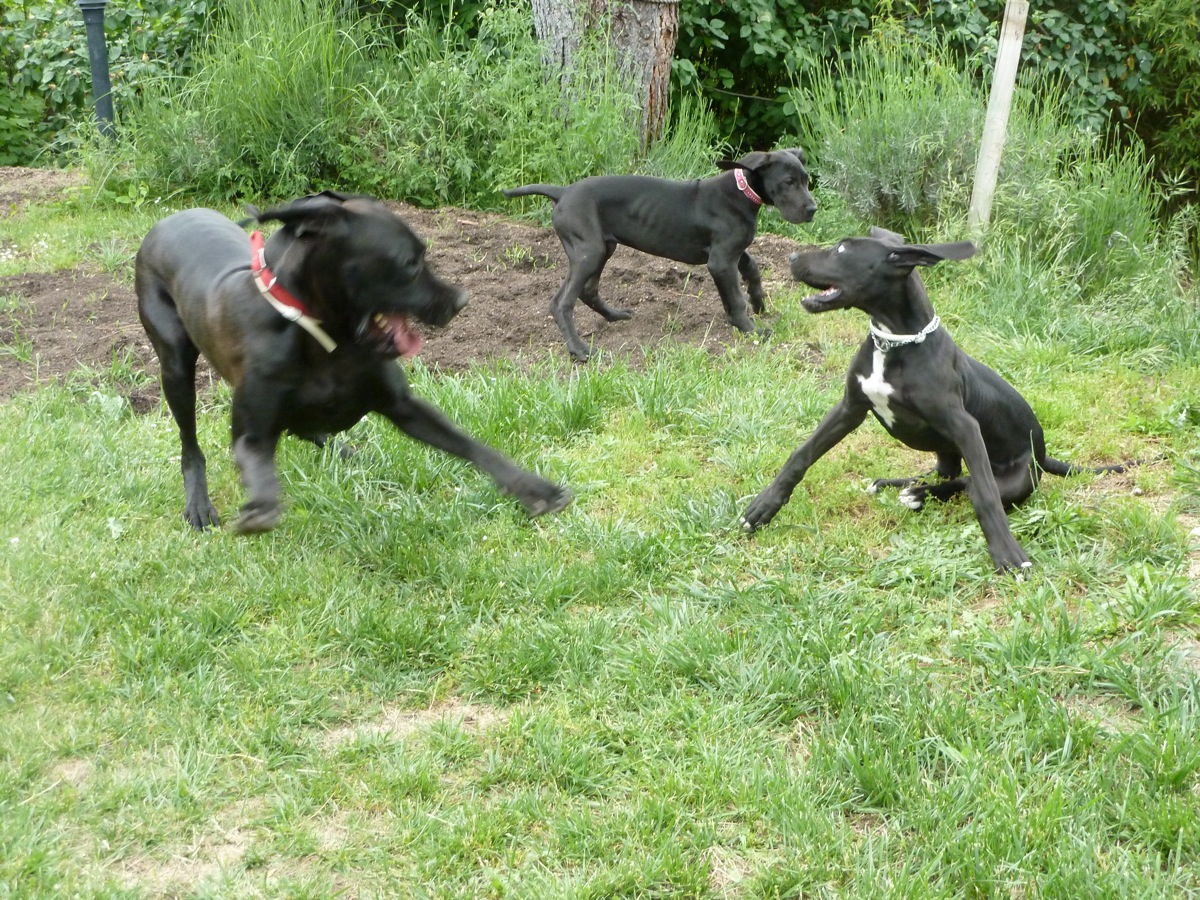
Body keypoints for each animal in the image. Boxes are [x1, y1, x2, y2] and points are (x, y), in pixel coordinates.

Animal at [138, 187, 568, 532]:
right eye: (410, 262)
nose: (462, 301)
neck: (326, 337)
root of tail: (165, 222)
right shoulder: (251, 433)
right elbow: (258, 465)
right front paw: (261, 504)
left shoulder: (404, 406)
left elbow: (475, 447)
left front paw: (535, 489)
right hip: (175, 368)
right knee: (190, 445)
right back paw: (198, 502)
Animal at [501, 148, 820, 362]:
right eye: (788, 182)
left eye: (806, 180)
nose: (812, 209)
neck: (741, 194)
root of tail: (563, 191)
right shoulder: (720, 261)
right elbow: (735, 299)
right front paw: (751, 329)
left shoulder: (732, 251)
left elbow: (752, 268)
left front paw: (760, 303)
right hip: (588, 251)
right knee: (562, 302)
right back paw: (578, 350)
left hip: (600, 248)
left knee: (587, 291)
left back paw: (615, 316)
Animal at [739, 229, 1123, 573]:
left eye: (842, 249)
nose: (791, 257)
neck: (894, 342)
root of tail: (1042, 456)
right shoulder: (850, 407)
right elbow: (800, 455)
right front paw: (762, 509)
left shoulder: (965, 426)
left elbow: (985, 495)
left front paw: (1008, 553)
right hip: (945, 450)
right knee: (945, 474)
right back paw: (900, 485)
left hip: (1016, 476)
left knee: (968, 485)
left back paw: (919, 495)